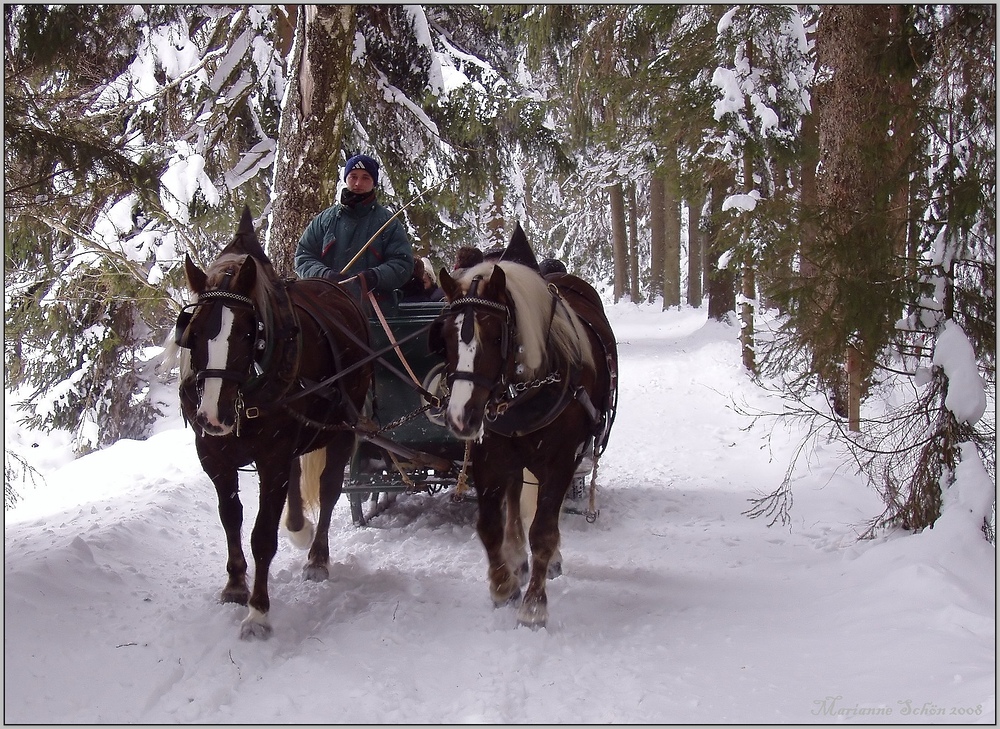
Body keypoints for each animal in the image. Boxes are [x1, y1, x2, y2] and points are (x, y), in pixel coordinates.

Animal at [166, 206, 374, 636]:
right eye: (193, 333)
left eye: (249, 333)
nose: (214, 416)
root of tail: (339, 288)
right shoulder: (213, 453)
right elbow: (231, 518)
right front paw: (234, 585)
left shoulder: (273, 453)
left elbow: (262, 534)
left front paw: (258, 612)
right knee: (296, 479)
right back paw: (297, 526)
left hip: (342, 426)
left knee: (330, 487)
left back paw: (317, 556)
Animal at [438, 225, 616, 628]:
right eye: (445, 336)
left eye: (495, 335)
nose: (460, 417)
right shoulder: (489, 455)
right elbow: (490, 524)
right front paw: (502, 584)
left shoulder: (562, 459)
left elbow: (544, 530)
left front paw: (534, 606)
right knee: (516, 496)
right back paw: (517, 561)